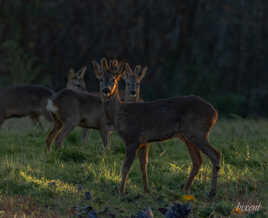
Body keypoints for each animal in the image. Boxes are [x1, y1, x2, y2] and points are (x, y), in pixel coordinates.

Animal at [93, 58, 221, 198]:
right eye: (101, 79)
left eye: (114, 80)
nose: (106, 90)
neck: (120, 114)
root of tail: (214, 113)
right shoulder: (143, 142)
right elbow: (143, 165)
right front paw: (146, 190)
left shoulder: (133, 139)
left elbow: (125, 167)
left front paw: (121, 191)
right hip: (188, 136)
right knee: (198, 160)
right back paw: (185, 189)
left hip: (198, 132)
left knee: (215, 154)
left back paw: (212, 192)